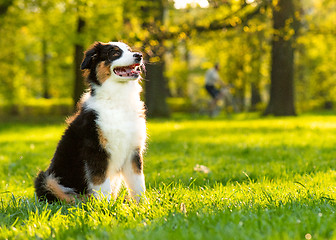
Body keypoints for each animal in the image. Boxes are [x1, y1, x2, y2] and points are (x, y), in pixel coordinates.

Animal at [34, 42, 147, 203]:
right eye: (114, 53)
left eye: (130, 50)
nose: (139, 55)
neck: (117, 100)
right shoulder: (95, 149)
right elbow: (101, 183)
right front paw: (105, 207)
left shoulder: (133, 150)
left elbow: (138, 184)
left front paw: (144, 206)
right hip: (46, 178)